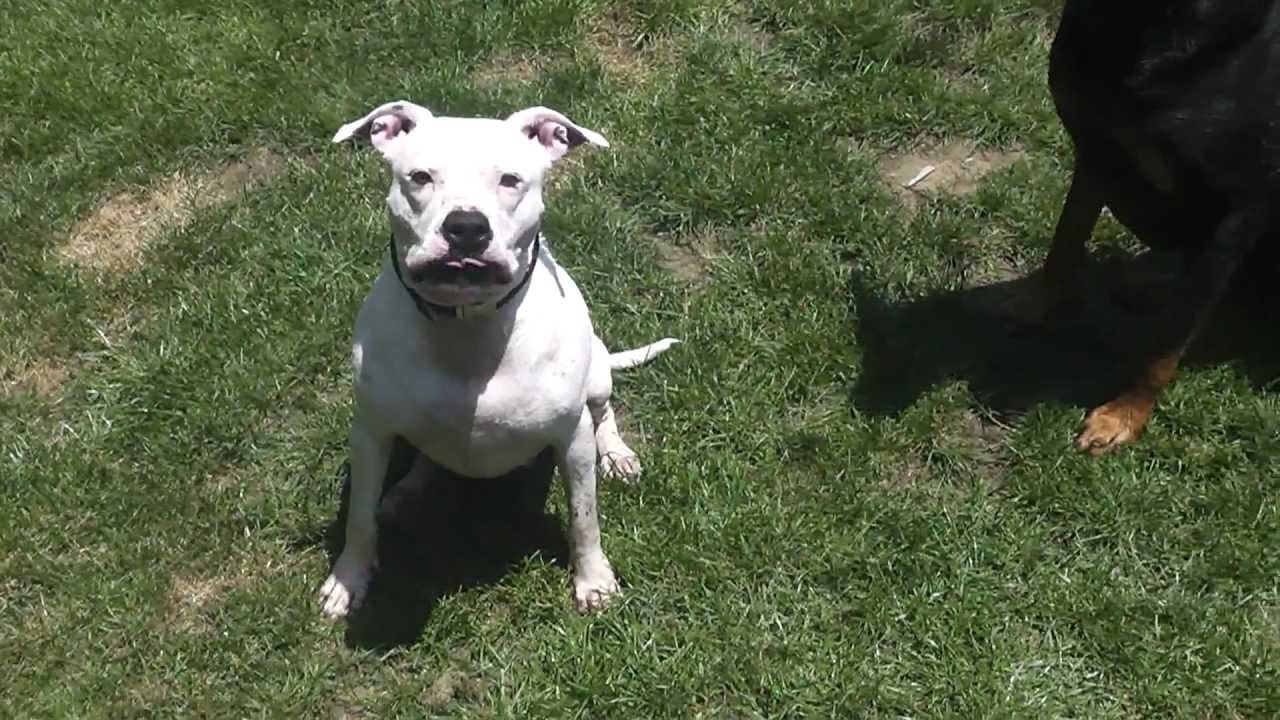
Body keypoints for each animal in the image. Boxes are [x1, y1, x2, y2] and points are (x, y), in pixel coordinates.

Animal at [317, 99, 680, 617]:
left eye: (510, 180)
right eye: (419, 177)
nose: (466, 227)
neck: (467, 327)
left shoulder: (571, 440)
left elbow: (584, 516)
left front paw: (594, 580)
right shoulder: (371, 432)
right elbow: (359, 518)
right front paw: (348, 581)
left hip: (596, 375)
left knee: (604, 411)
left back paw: (618, 454)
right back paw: (408, 489)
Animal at [1034, 0, 1274, 450]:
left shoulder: (1236, 211)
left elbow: (1167, 341)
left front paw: (1123, 417)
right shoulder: (1098, 149)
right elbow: (1065, 242)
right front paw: (1042, 311)